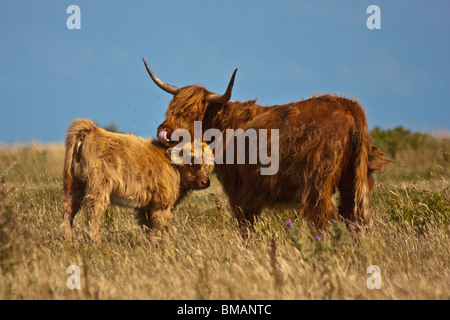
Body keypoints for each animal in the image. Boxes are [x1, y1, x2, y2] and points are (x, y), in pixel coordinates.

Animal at [61, 118, 213, 242]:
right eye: (192, 160)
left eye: (208, 164)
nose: (205, 182)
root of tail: (91, 130)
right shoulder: (162, 203)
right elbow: (163, 226)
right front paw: (168, 247)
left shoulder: (147, 206)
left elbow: (150, 227)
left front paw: (152, 245)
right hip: (98, 187)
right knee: (93, 211)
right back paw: (97, 242)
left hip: (75, 184)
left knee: (69, 209)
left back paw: (68, 240)